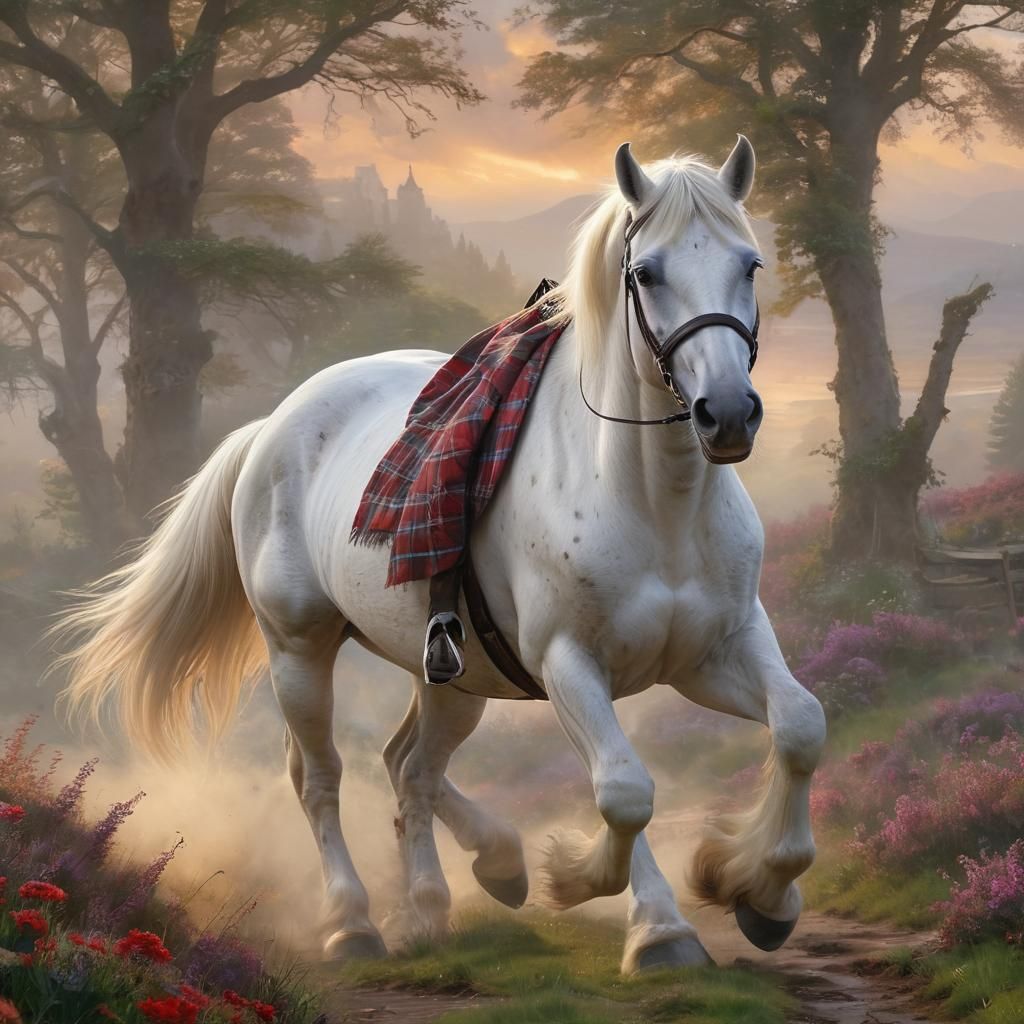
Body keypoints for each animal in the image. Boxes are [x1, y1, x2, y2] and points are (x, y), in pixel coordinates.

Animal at [58, 137, 826, 974]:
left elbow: (800, 726)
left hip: (456, 674)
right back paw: (354, 922)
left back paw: (457, 888)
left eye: (749, 263)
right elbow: (622, 790)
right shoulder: (570, 666)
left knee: (410, 767)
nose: (728, 414)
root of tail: (270, 426)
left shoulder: (716, 649)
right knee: (320, 777)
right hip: (299, 649)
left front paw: (758, 891)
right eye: (647, 273)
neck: (656, 503)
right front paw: (635, 914)